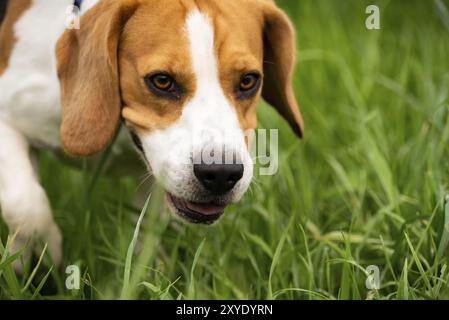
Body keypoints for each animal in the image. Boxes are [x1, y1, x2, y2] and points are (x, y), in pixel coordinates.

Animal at [0, 0, 302, 268]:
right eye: (162, 81)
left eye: (248, 80)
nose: (220, 173)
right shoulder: (9, 118)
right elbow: (26, 204)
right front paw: (37, 257)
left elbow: (147, 232)